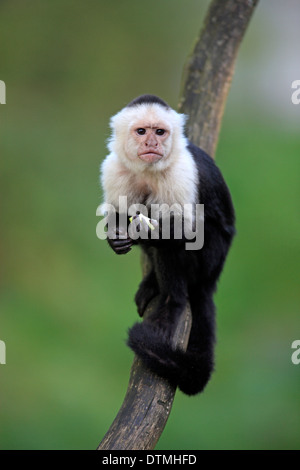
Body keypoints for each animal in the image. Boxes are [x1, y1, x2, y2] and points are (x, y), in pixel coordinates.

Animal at [99, 93, 236, 394]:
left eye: (160, 132)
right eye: (142, 131)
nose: (152, 143)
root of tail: (212, 279)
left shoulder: (181, 173)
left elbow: (188, 231)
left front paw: (141, 233)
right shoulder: (113, 169)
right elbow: (118, 211)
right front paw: (115, 238)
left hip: (208, 260)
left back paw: (173, 303)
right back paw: (152, 281)